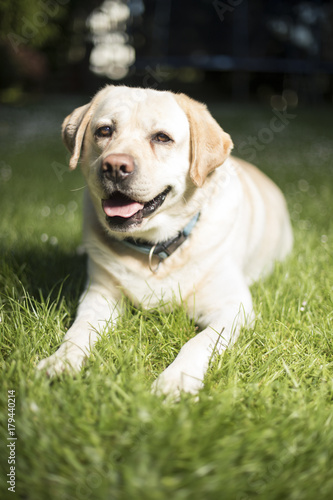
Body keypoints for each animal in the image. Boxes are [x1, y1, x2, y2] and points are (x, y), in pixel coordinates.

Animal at [37, 87, 290, 398]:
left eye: (161, 137)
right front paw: (61, 361)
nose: (115, 166)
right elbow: (78, 330)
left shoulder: (233, 308)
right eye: (104, 130)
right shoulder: (99, 297)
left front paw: (176, 379)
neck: (155, 249)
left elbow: (199, 342)